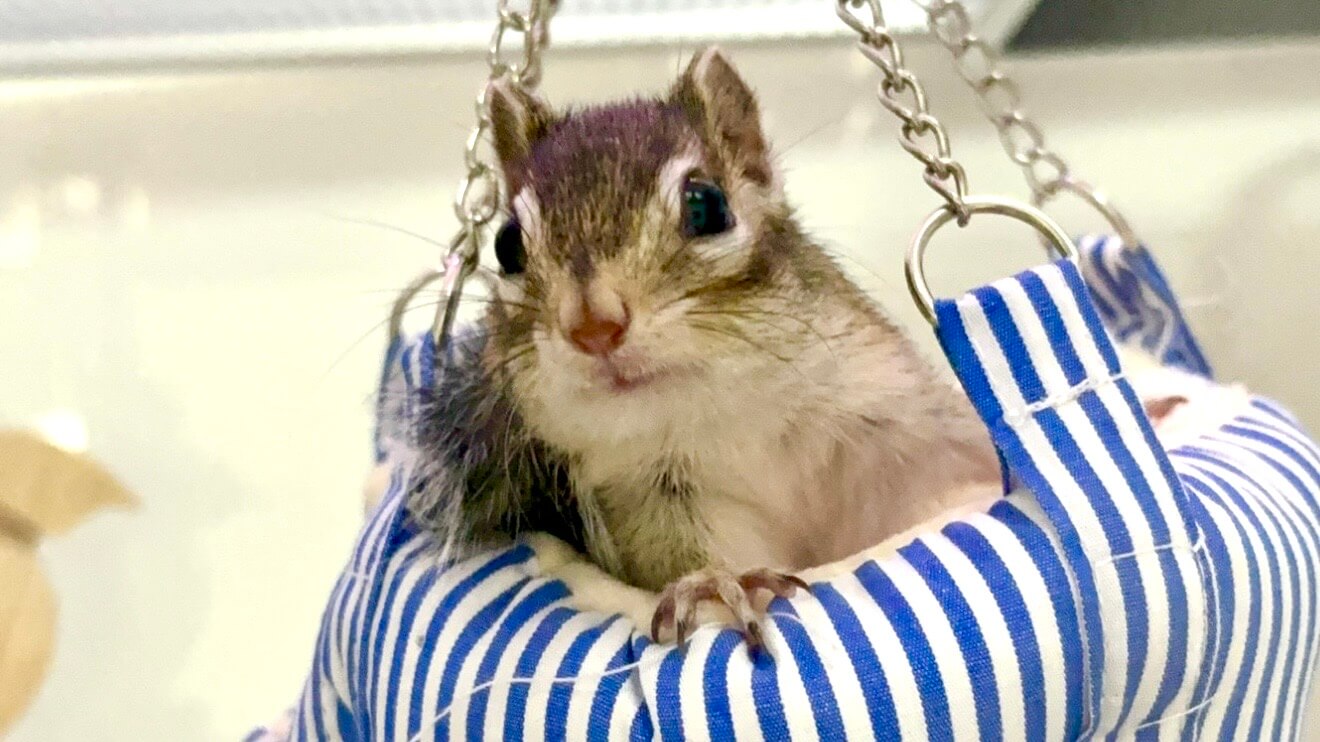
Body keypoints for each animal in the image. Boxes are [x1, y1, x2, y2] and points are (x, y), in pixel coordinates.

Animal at [407, 47, 1008, 650]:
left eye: (706, 205)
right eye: (506, 244)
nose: (594, 327)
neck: (727, 414)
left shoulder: (899, 429)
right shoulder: (658, 501)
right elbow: (692, 558)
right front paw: (715, 584)